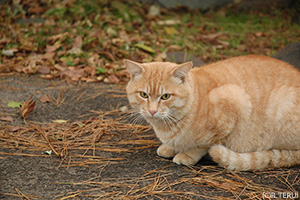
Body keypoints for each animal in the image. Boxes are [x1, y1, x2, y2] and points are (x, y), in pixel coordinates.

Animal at [123, 55, 300, 171]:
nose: (152, 110)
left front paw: (186, 155)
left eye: (165, 96)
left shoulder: (232, 107)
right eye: (143, 95)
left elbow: (201, 146)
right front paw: (170, 147)